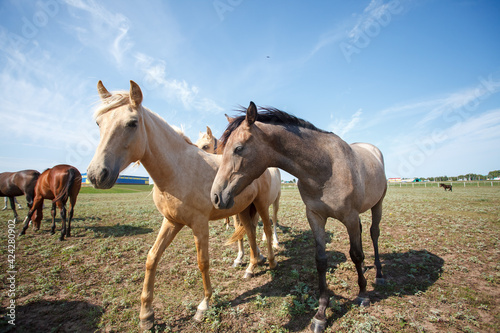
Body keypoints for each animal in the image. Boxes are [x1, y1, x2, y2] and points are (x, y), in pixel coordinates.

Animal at [87, 80, 280, 330]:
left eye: (132, 123)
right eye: (99, 123)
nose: (96, 175)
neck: (177, 170)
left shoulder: (199, 224)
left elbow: (203, 262)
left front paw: (204, 305)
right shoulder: (171, 222)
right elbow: (152, 258)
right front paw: (146, 315)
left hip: (262, 205)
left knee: (267, 228)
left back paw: (271, 262)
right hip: (245, 210)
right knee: (250, 233)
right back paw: (250, 267)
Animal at [211, 102, 386, 332]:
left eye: (238, 148)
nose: (215, 196)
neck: (326, 168)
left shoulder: (349, 217)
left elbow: (355, 254)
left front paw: (363, 295)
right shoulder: (315, 217)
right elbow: (321, 260)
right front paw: (321, 314)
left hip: (377, 204)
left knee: (374, 234)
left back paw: (379, 274)